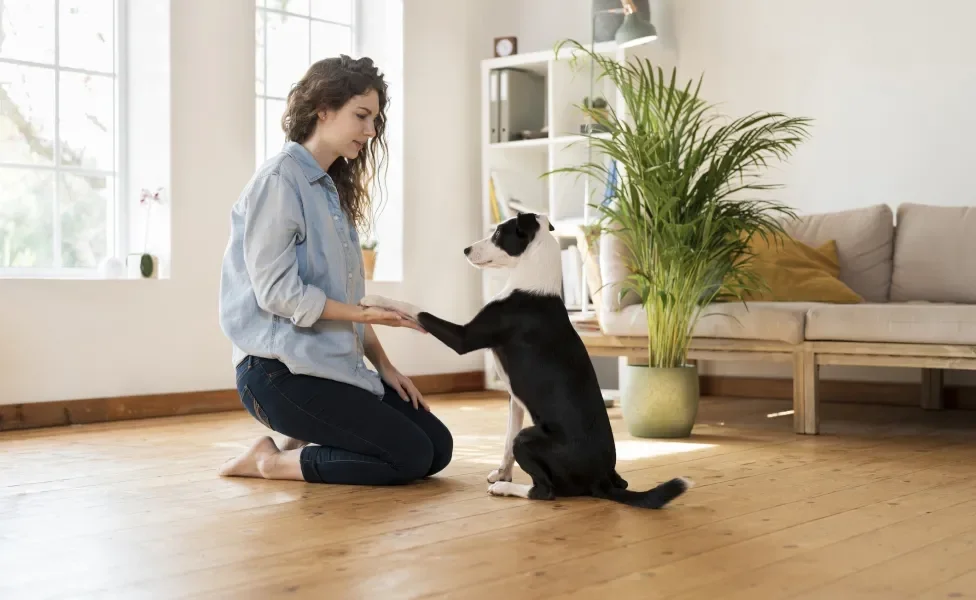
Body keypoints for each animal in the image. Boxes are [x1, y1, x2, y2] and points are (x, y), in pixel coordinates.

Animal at [362, 213, 692, 508]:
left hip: (529, 440)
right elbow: (506, 440)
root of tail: (600, 480)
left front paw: (374, 299)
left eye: (498, 234)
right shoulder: (514, 400)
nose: (466, 250)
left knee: (544, 492)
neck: (532, 280)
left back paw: (507, 490)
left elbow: (417, 310)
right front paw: (501, 473)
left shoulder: (463, 338)